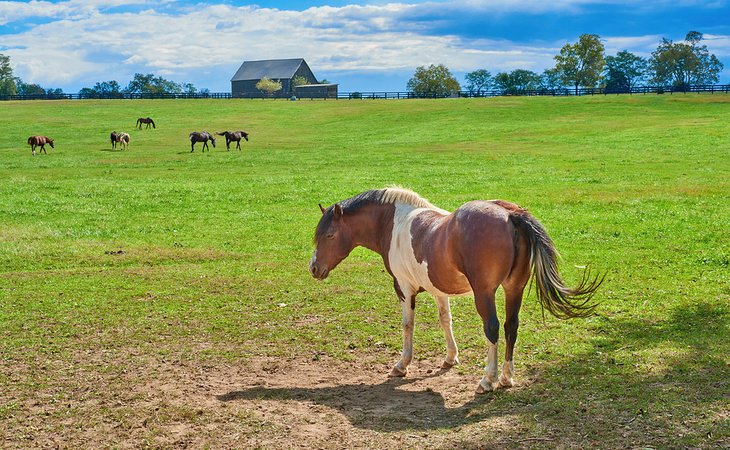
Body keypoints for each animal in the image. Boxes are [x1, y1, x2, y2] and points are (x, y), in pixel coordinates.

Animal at [310, 188, 600, 392]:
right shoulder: (439, 289)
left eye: (330, 235)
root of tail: (510, 214)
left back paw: (488, 380)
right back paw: (506, 378)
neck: (394, 223)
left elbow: (407, 324)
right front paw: (450, 358)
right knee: (511, 326)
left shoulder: (403, 287)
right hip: (513, 288)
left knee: (493, 328)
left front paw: (402, 365)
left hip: (485, 293)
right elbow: (445, 320)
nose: (313, 268)